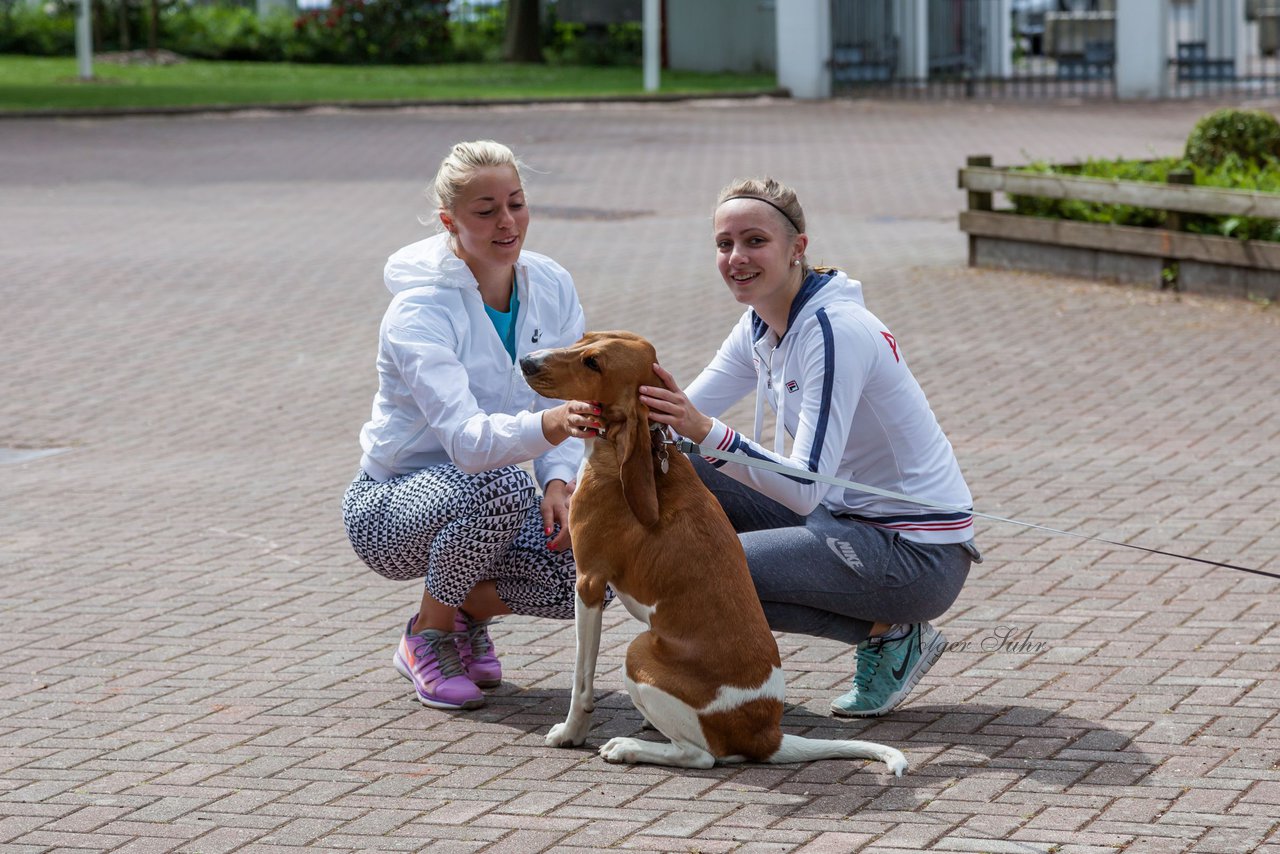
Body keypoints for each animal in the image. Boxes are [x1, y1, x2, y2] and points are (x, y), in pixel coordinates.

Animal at [519, 330, 911, 773]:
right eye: (583, 339)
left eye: (593, 363)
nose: (527, 362)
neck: (643, 454)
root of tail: (768, 735)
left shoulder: (587, 583)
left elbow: (581, 681)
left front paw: (571, 733)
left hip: (639, 651)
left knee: (700, 756)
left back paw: (630, 746)